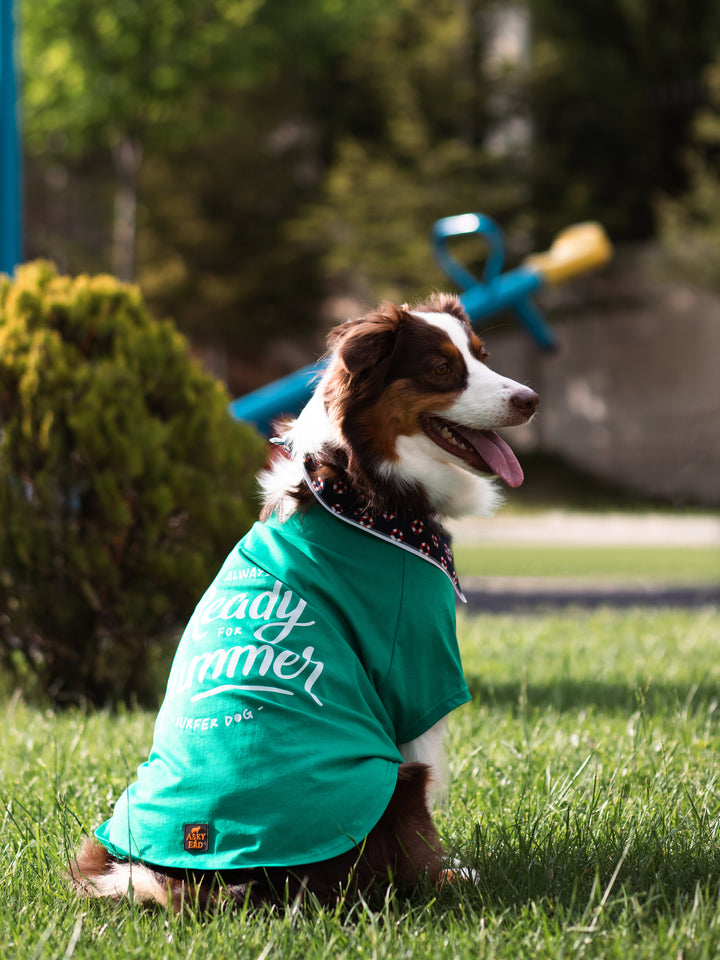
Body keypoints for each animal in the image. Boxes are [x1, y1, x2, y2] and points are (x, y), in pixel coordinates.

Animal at [70, 296, 536, 912]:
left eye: (481, 356)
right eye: (441, 369)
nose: (531, 400)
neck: (359, 485)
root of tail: (209, 873)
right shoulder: (415, 668)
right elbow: (426, 809)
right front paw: (450, 871)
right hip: (387, 783)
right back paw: (451, 881)